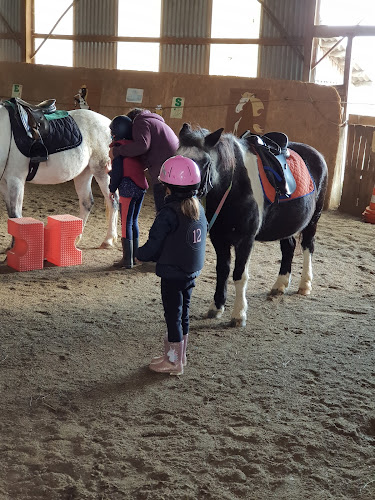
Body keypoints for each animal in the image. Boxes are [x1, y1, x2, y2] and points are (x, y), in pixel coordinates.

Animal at [0, 104, 117, 249]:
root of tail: (108, 123)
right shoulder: (4, 183)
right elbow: (11, 214)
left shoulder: (16, 180)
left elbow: (16, 215)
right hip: (84, 173)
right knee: (87, 202)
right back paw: (76, 239)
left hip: (102, 171)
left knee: (112, 201)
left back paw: (108, 240)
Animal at [178, 124, 328, 328]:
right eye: (175, 156)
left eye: (204, 162)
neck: (234, 185)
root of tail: (316, 154)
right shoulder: (219, 237)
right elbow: (222, 271)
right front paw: (216, 307)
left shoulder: (245, 240)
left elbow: (239, 275)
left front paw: (238, 315)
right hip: (286, 224)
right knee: (289, 248)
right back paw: (280, 285)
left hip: (313, 220)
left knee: (307, 247)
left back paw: (305, 285)